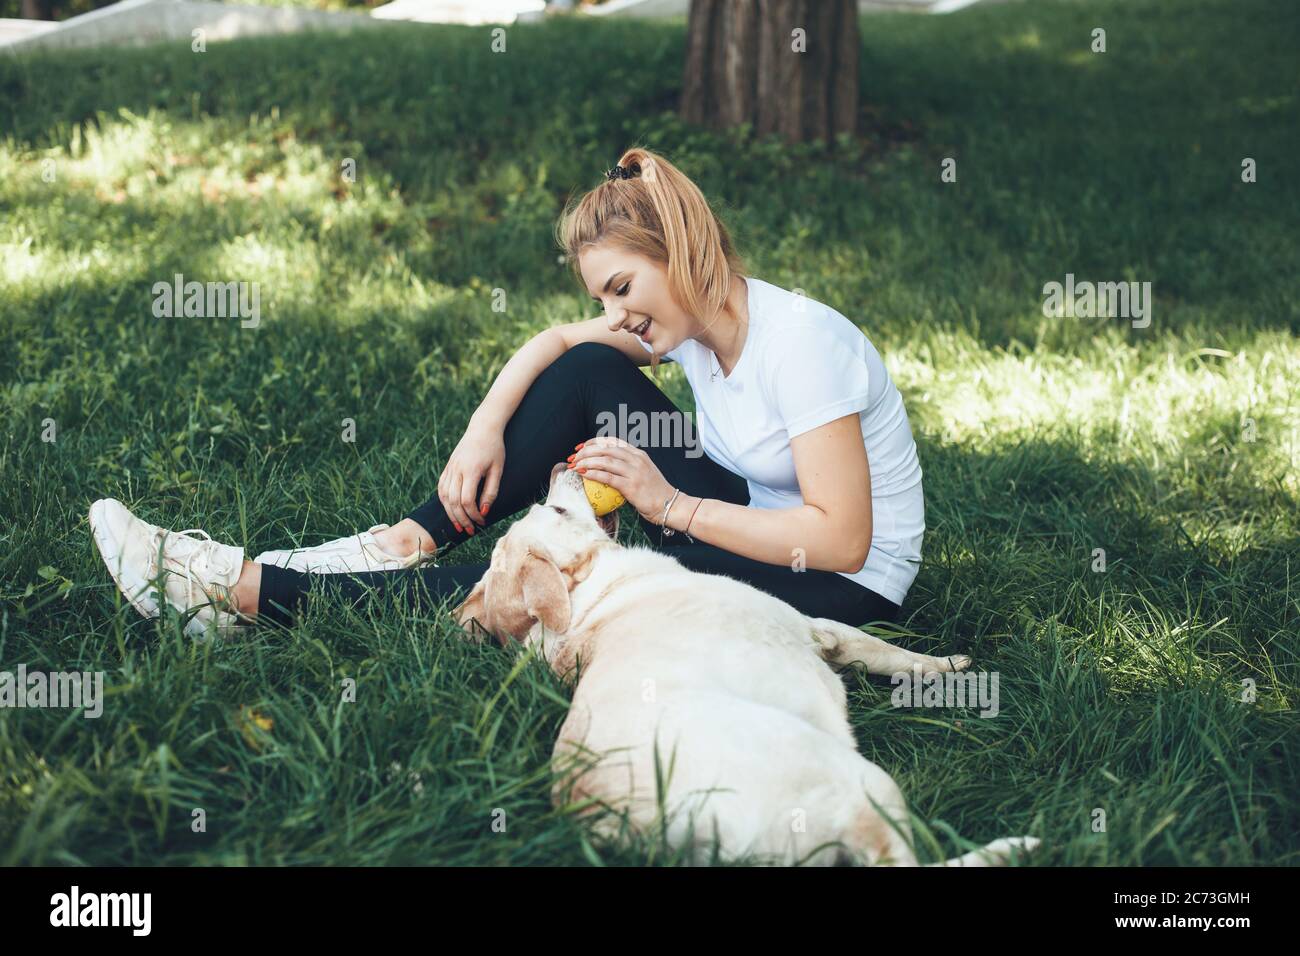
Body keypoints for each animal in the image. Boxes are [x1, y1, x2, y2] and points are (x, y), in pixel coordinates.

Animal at [452, 463, 1040, 868]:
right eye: (555, 512)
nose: (560, 467)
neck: (587, 597)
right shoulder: (818, 627)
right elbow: (890, 652)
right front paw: (952, 668)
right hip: (861, 781)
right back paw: (1015, 846)